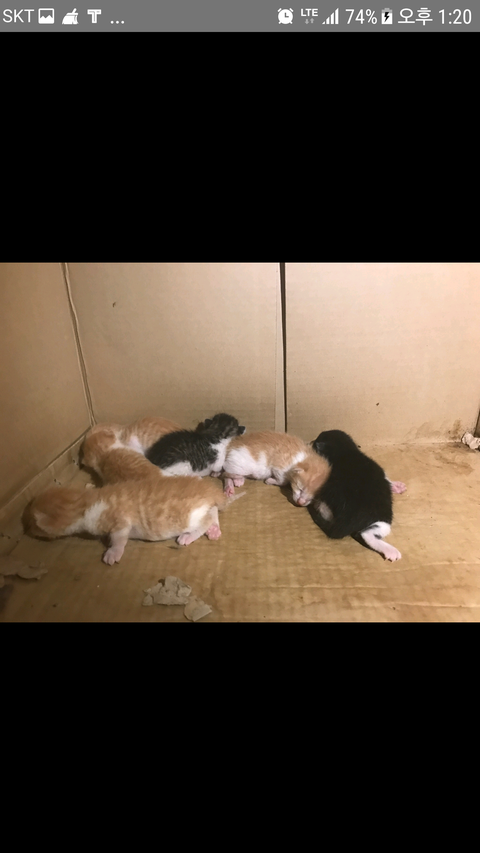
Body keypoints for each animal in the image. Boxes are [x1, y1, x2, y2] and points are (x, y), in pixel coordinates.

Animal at [24, 476, 245, 564]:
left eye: (31, 524)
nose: (26, 530)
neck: (85, 502)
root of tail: (211, 491)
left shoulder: (120, 522)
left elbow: (118, 539)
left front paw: (113, 553)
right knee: (214, 511)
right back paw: (214, 529)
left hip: (191, 515)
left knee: (206, 519)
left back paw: (190, 536)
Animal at [308, 429, 402, 562]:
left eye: (316, 440)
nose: (311, 441)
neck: (345, 452)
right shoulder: (380, 471)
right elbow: (387, 480)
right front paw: (396, 486)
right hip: (383, 518)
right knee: (365, 533)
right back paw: (390, 551)